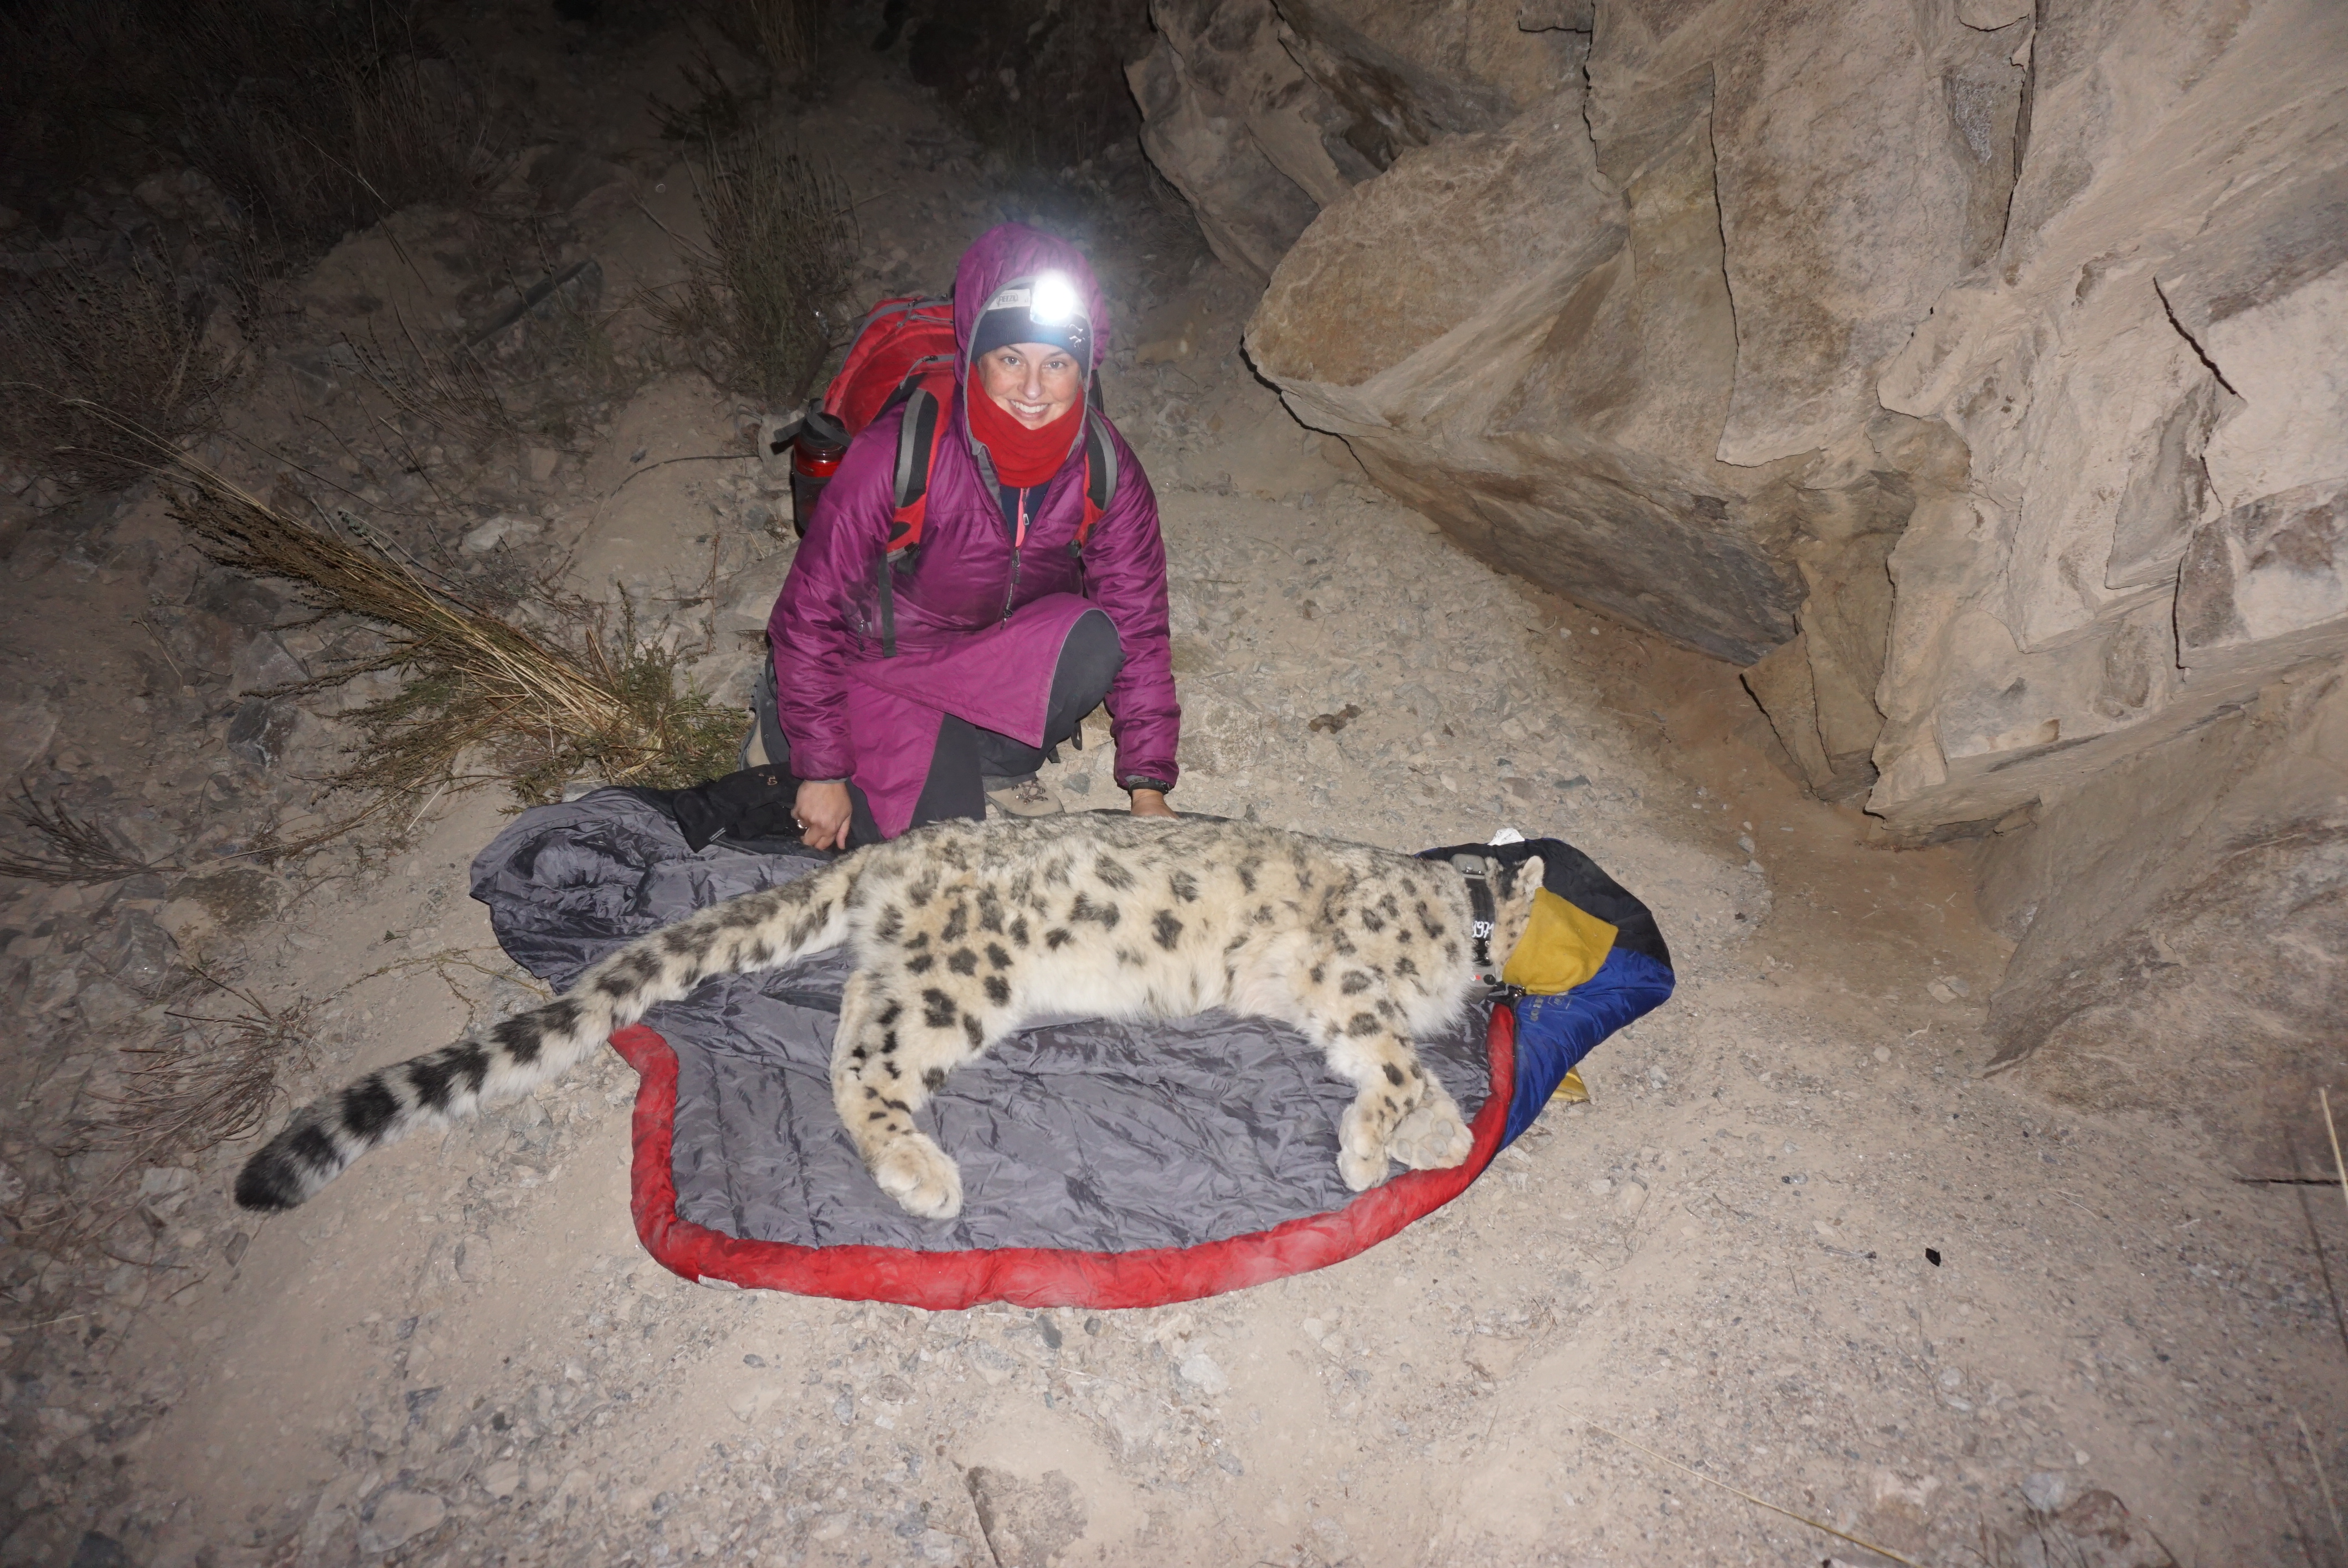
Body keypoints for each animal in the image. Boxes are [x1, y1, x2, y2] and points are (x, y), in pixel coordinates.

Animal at [235, 814, 1544, 1220]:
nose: (1508, 986)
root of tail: (900, 848)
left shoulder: (1317, 998)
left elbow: (1401, 1067)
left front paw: (1431, 1130)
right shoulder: (1344, 971)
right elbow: (1387, 1056)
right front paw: (1376, 1146)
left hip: (909, 973)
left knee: (847, 1035)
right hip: (959, 981)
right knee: (854, 1070)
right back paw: (924, 1176)